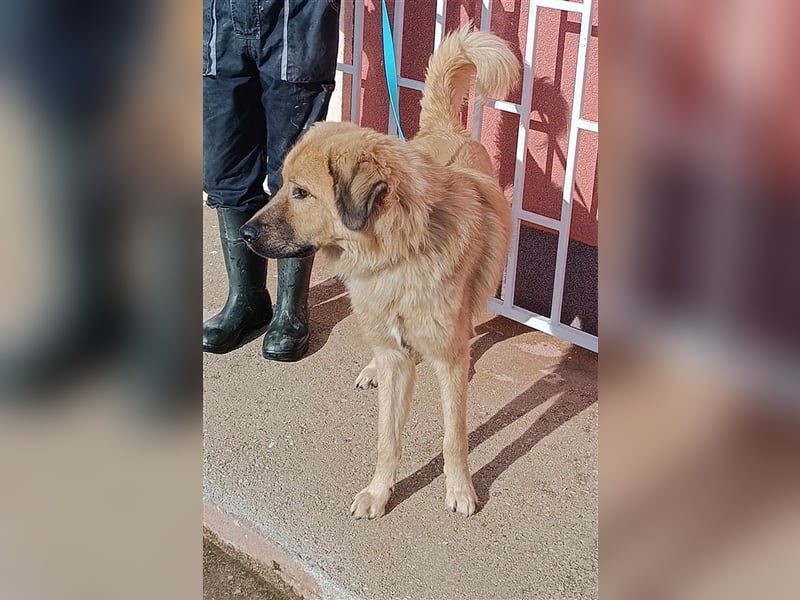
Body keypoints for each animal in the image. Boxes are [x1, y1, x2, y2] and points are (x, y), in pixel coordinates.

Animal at [242, 27, 520, 516]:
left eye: (301, 192)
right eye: (283, 185)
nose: (243, 233)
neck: (399, 256)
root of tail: (444, 131)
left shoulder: (446, 359)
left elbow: (454, 437)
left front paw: (459, 489)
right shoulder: (395, 356)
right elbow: (387, 439)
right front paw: (379, 492)